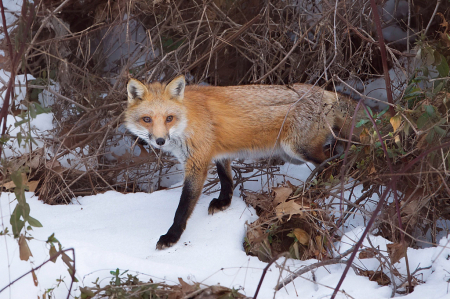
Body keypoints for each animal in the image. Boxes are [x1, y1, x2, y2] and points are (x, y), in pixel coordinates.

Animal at [125, 76, 360, 250]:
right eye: (147, 119)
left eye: (169, 118)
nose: (160, 140)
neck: (187, 120)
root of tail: (325, 92)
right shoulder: (218, 152)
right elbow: (226, 180)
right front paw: (224, 203)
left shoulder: (197, 163)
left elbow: (182, 207)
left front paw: (172, 236)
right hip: (291, 154)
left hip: (296, 148)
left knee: (332, 161)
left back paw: (316, 188)